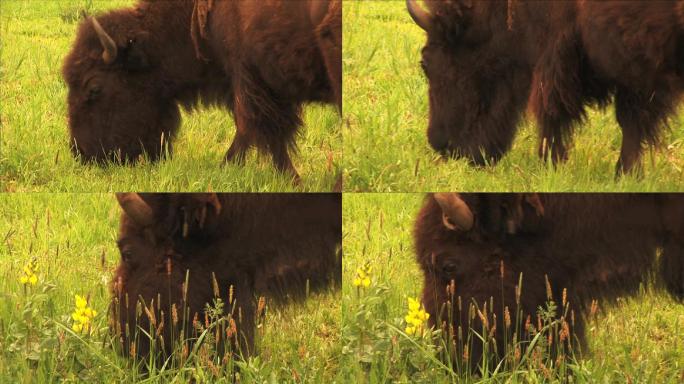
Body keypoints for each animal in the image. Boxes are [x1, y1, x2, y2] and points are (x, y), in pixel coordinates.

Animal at [406, 0, 684, 174]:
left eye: (425, 63)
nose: (441, 143)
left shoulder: (559, 51)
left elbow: (553, 111)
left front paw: (550, 164)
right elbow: (632, 121)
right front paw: (628, 174)